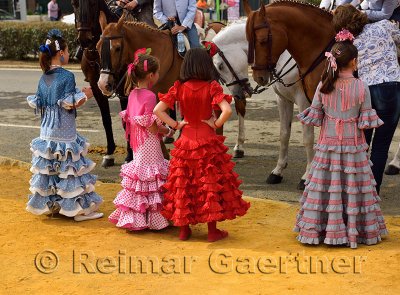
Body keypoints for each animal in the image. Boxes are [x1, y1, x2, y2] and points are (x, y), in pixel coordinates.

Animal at [211, 20, 314, 190]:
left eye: (220, 66)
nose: (237, 95)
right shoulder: (283, 99)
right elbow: (284, 134)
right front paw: (278, 171)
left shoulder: (304, 101)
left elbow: (308, 138)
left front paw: (306, 177)